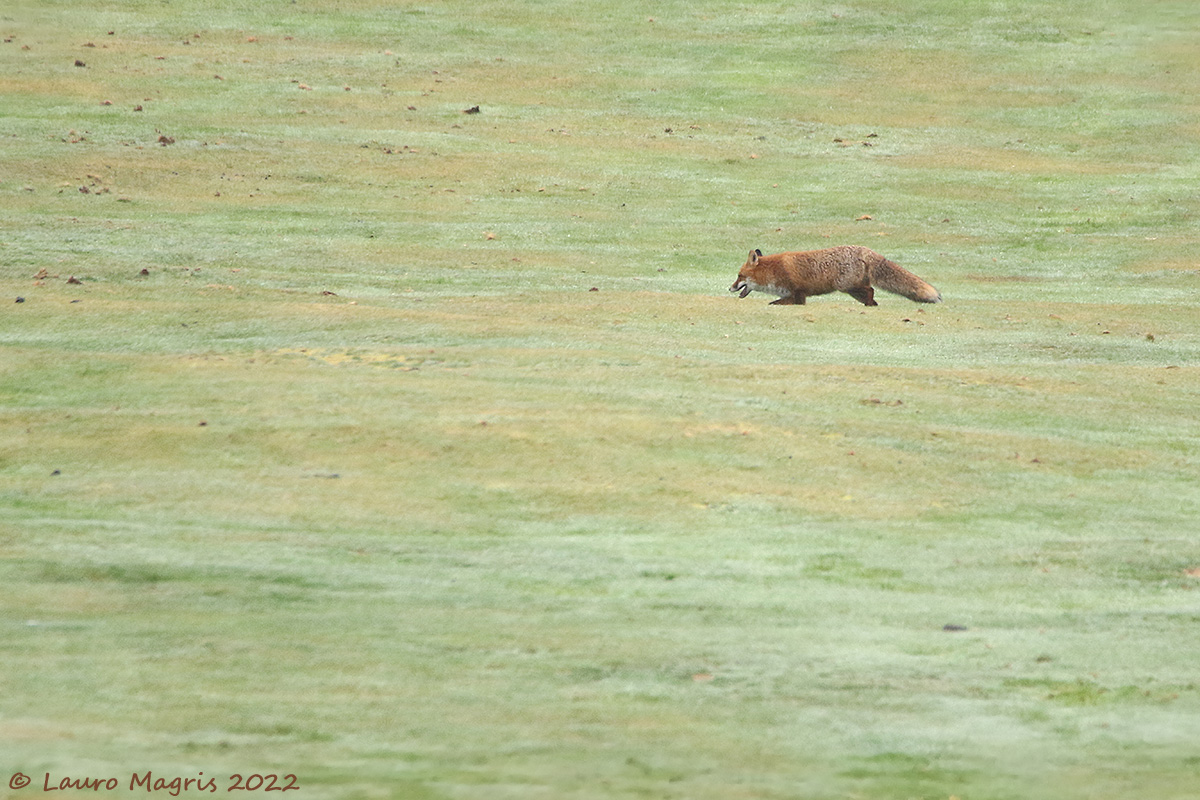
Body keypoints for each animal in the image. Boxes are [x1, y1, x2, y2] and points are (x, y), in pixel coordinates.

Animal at [729, 245, 942, 306]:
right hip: (852, 290)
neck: (774, 270)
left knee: (871, 291)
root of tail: (866, 250)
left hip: (847, 286)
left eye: (739, 276)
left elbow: (776, 303)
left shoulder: (797, 293)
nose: (729, 287)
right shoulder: (795, 295)